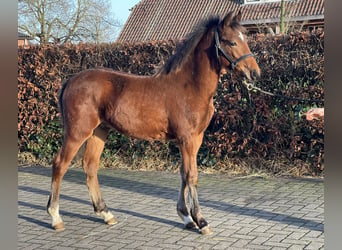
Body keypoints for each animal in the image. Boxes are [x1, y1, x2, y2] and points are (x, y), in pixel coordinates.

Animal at [45, 11, 260, 234]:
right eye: (231, 41)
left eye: (245, 38)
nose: (254, 73)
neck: (190, 86)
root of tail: (70, 81)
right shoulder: (187, 139)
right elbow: (192, 175)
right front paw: (201, 221)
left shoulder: (194, 139)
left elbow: (183, 174)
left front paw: (186, 217)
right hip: (77, 132)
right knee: (60, 164)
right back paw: (55, 217)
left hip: (99, 131)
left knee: (90, 166)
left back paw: (106, 213)